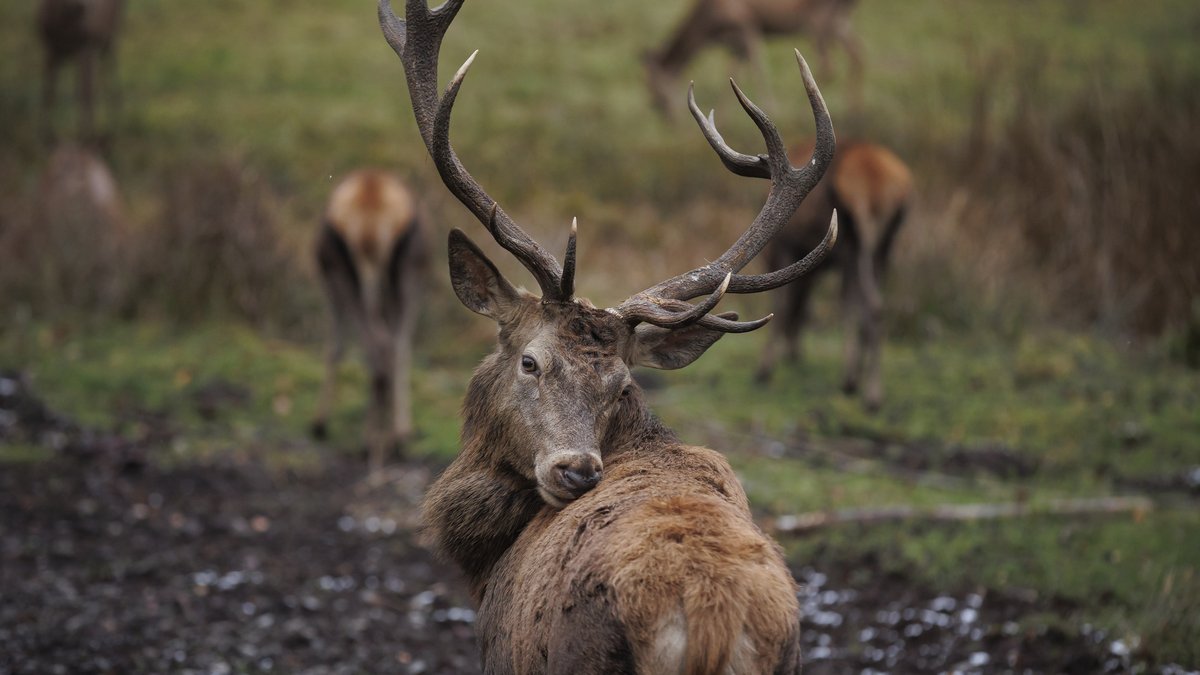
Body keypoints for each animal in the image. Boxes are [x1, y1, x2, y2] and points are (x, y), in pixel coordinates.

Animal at [36, 0, 125, 143]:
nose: (84, 6)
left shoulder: (87, 45)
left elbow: (85, 93)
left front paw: (87, 136)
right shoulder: (51, 48)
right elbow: (48, 93)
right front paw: (46, 135)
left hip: (108, 39)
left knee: (105, 79)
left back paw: (109, 131)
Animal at [310, 169, 429, 477]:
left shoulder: (328, 280)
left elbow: (335, 347)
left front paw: (320, 424)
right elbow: (402, 347)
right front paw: (402, 431)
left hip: (345, 275)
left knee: (378, 345)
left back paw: (371, 443)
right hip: (405, 275)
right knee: (393, 346)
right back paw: (390, 440)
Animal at [379, 0, 837, 671]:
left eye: (621, 384)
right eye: (531, 363)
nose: (576, 471)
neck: (484, 567)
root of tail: (712, 615)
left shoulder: (500, 652)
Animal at [645, 0, 862, 118]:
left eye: (656, 93)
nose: (667, 119)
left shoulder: (747, 25)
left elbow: (758, 68)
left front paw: (773, 108)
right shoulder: (735, 45)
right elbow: (733, 72)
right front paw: (721, 117)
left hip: (817, 22)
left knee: (829, 66)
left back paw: (805, 114)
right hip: (840, 21)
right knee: (857, 57)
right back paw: (853, 111)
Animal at [756, 138, 912, 411]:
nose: (793, 352)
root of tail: (876, 189)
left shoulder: (787, 246)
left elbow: (783, 304)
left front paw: (765, 370)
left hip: (852, 241)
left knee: (863, 304)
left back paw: (861, 388)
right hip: (883, 243)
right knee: (873, 304)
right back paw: (864, 385)